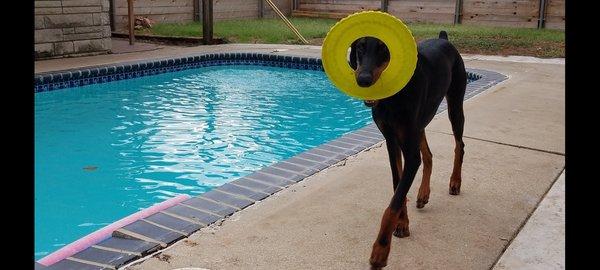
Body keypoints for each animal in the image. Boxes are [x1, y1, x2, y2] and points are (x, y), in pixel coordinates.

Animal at [350, 30, 466, 268]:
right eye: (360, 47)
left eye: (384, 48)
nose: (363, 80)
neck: (392, 98)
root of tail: (444, 39)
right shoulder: (391, 142)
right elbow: (398, 185)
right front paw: (402, 224)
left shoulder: (410, 154)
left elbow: (393, 203)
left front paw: (380, 249)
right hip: (419, 125)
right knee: (428, 155)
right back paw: (423, 194)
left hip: (454, 105)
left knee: (460, 146)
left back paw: (455, 181)